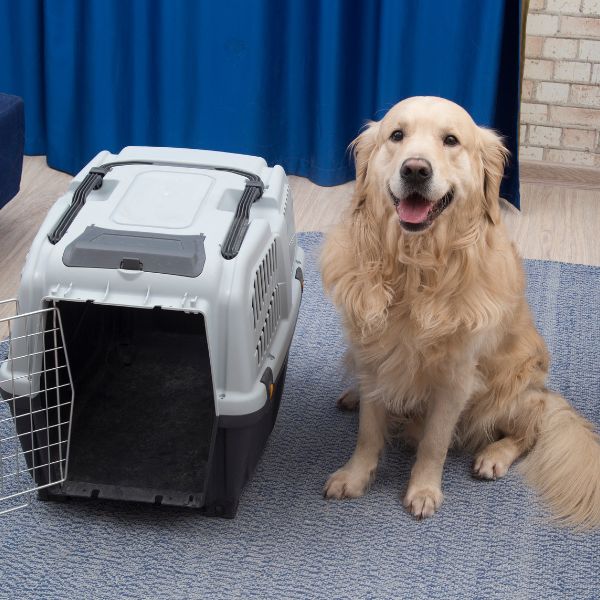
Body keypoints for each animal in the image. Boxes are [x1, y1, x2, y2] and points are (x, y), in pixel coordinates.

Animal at [322, 96, 600, 528]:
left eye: (450, 140)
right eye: (396, 135)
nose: (415, 169)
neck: (415, 269)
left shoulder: (455, 377)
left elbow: (434, 442)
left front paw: (423, 491)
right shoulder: (372, 358)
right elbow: (368, 431)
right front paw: (354, 476)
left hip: (512, 389)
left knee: (531, 427)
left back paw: (494, 455)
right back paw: (352, 397)